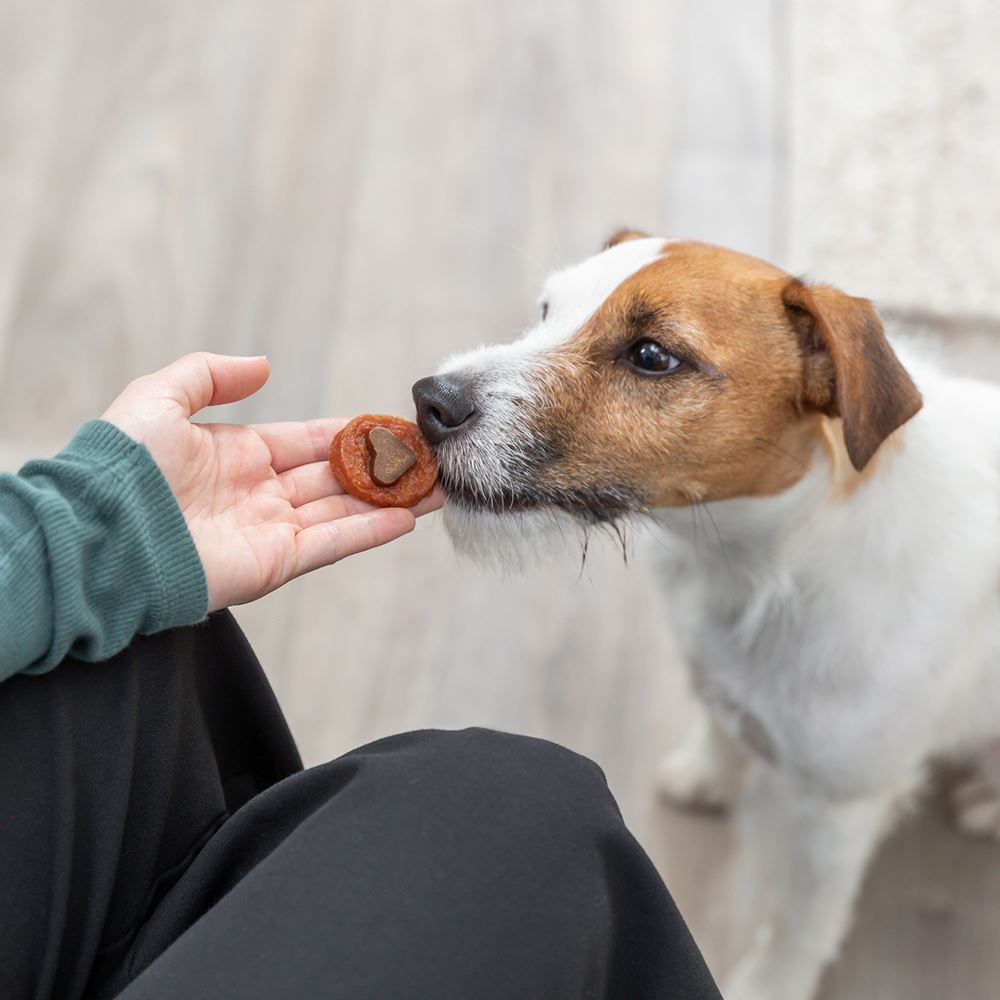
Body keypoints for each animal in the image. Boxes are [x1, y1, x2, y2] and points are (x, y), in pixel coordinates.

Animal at [410, 230, 1000, 996]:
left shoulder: (838, 812)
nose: (429, 401)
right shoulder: (711, 660)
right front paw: (707, 774)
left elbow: (803, 919)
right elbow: (719, 713)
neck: (766, 558)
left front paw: (773, 981)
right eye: (546, 310)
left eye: (652, 356)